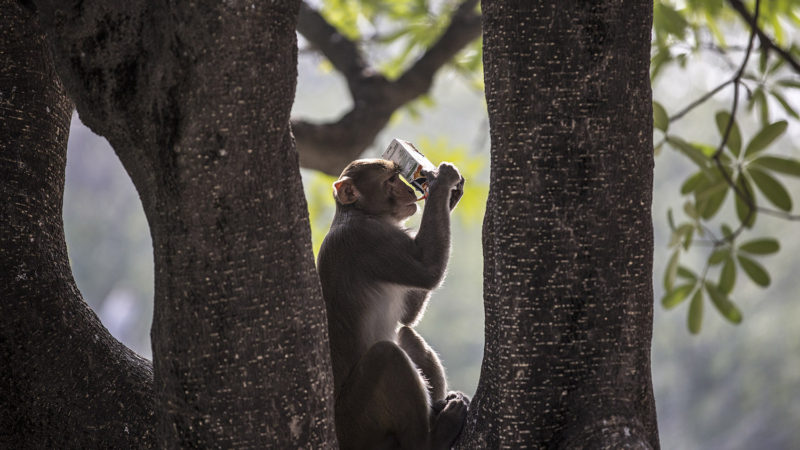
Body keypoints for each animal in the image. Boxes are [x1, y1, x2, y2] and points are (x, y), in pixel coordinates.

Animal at [318, 159, 468, 450]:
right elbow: (428, 269)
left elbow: (407, 317)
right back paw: (432, 439)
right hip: (358, 425)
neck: (361, 213)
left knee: (405, 334)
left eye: (399, 176)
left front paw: (450, 196)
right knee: (387, 355)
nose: (410, 191)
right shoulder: (368, 239)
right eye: (390, 180)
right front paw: (442, 181)